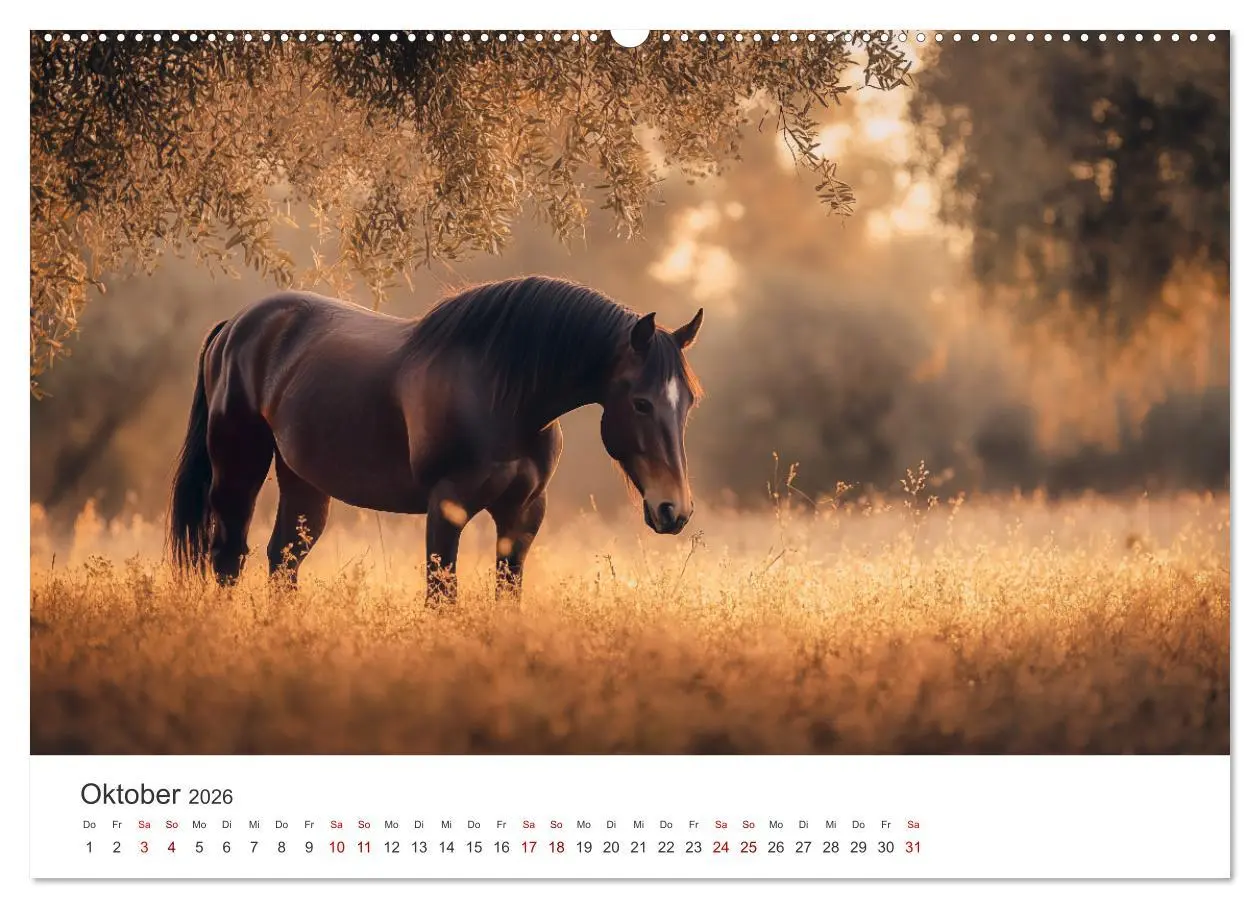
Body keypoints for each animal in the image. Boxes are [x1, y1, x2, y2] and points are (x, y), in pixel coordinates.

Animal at [168, 275, 704, 601]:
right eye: (641, 403)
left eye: (688, 404)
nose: (673, 511)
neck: (503, 393)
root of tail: (235, 327)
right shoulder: (447, 507)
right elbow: (441, 595)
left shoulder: (523, 513)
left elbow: (506, 594)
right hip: (238, 469)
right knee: (228, 557)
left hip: (302, 481)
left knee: (283, 560)